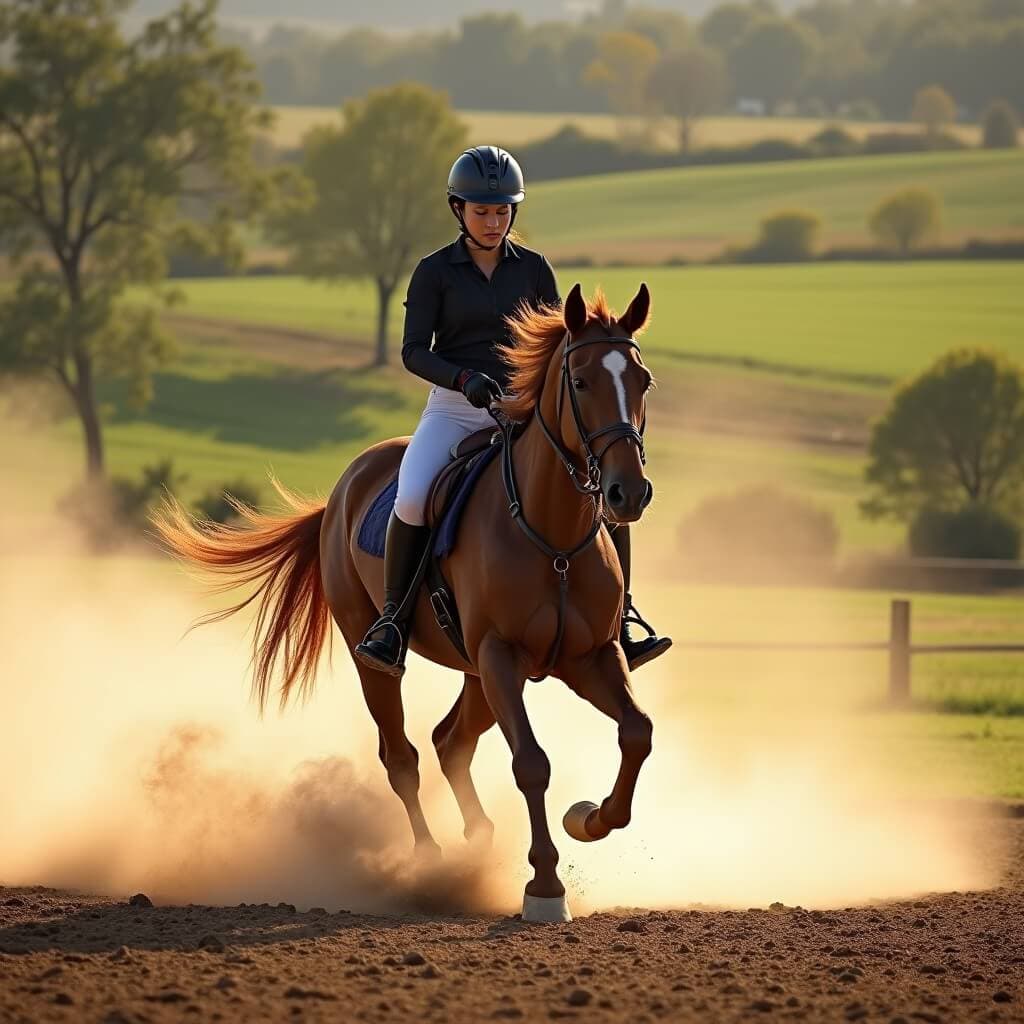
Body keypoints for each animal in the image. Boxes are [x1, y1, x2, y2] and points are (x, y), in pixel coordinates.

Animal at [152, 281, 658, 923]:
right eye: (584, 381)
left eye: (643, 381)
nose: (627, 493)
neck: (553, 537)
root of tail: (345, 485)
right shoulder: (501, 656)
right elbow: (531, 763)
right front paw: (545, 884)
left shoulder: (589, 657)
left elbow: (637, 732)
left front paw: (588, 818)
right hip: (381, 656)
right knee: (403, 756)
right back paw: (429, 860)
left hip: (479, 673)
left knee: (451, 742)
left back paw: (478, 840)